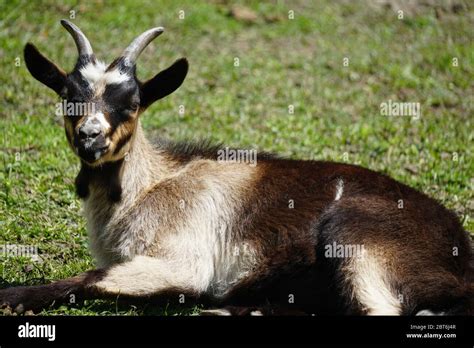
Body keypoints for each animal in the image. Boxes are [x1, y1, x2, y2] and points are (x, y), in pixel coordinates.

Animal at [1, 20, 472, 316]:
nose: (90, 137)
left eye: (131, 103)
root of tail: (461, 257)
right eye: (68, 97)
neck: (150, 186)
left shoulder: (183, 260)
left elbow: (90, 278)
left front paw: (14, 295)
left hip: (360, 240)